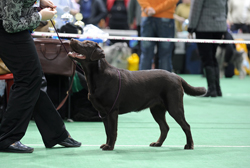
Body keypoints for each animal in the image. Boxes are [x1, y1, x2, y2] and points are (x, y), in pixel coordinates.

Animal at [67, 39, 206, 151]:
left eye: (86, 44)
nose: (71, 39)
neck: (97, 76)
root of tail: (176, 76)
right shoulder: (103, 113)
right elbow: (107, 131)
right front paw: (106, 145)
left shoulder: (112, 111)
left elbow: (112, 131)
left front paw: (110, 147)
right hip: (157, 109)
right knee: (164, 127)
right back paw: (157, 143)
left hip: (174, 106)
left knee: (186, 126)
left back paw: (189, 145)